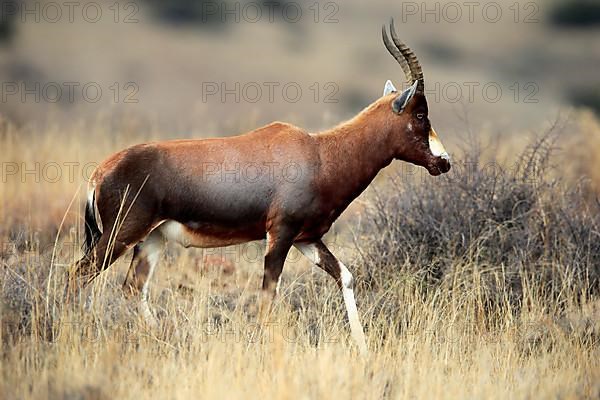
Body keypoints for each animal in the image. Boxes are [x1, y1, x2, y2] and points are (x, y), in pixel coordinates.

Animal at [68, 20, 448, 354]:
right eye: (419, 115)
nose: (443, 162)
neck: (318, 151)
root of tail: (100, 172)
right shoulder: (279, 235)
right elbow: (267, 300)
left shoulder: (307, 239)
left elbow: (346, 276)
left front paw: (364, 350)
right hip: (121, 234)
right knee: (79, 273)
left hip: (151, 239)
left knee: (133, 288)